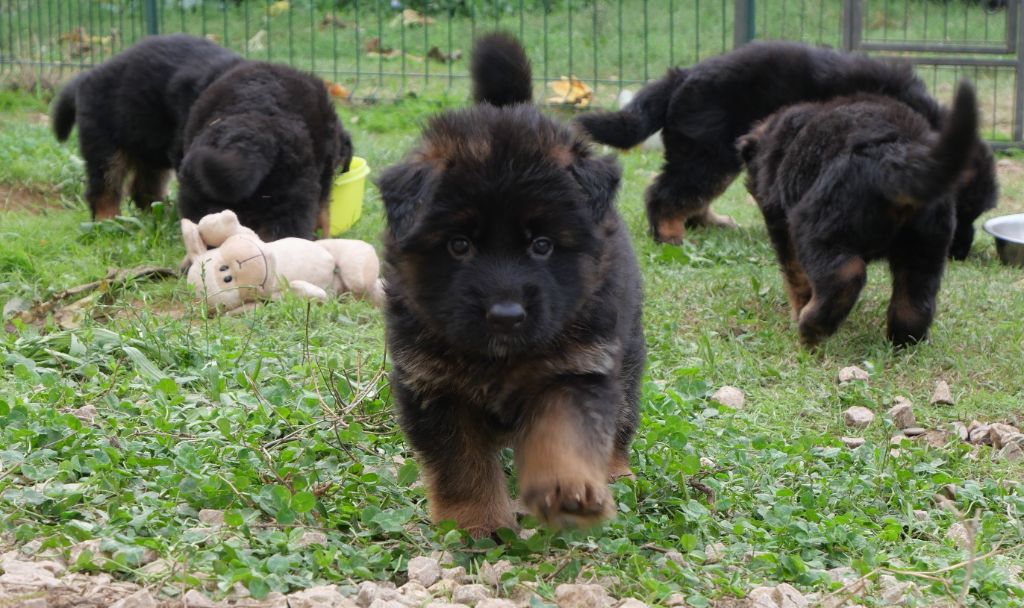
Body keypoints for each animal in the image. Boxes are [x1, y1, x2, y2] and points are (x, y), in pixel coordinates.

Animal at [52, 34, 242, 219]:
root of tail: (88, 76)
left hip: (148, 147)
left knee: (143, 189)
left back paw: (161, 216)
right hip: (104, 142)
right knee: (104, 188)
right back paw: (108, 221)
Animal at [380, 31, 643, 536]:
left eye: (541, 245)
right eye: (459, 245)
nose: (506, 315)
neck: (498, 359)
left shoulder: (576, 371)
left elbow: (562, 435)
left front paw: (567, 491)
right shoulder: (434, 388)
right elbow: (461, 465)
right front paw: (478, 524)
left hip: (628, 350)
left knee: (623, 412)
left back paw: (616, 468)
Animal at [573, 39, 995, 254]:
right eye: (960, 211)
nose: (961, 252)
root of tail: (683, 75)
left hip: (712, 156)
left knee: (689, 195)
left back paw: (707, 222)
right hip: (710, 155)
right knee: (665, 193)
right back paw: (669, 235)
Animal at [737, 82, 974, 345]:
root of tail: (897, 154)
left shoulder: (781, 223)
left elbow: (795, 275)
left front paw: (798, 309)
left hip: (818, 222)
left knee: (844, 275)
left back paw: (811, 327)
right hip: (928, 240)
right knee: (915, 296)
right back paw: (904, 341)